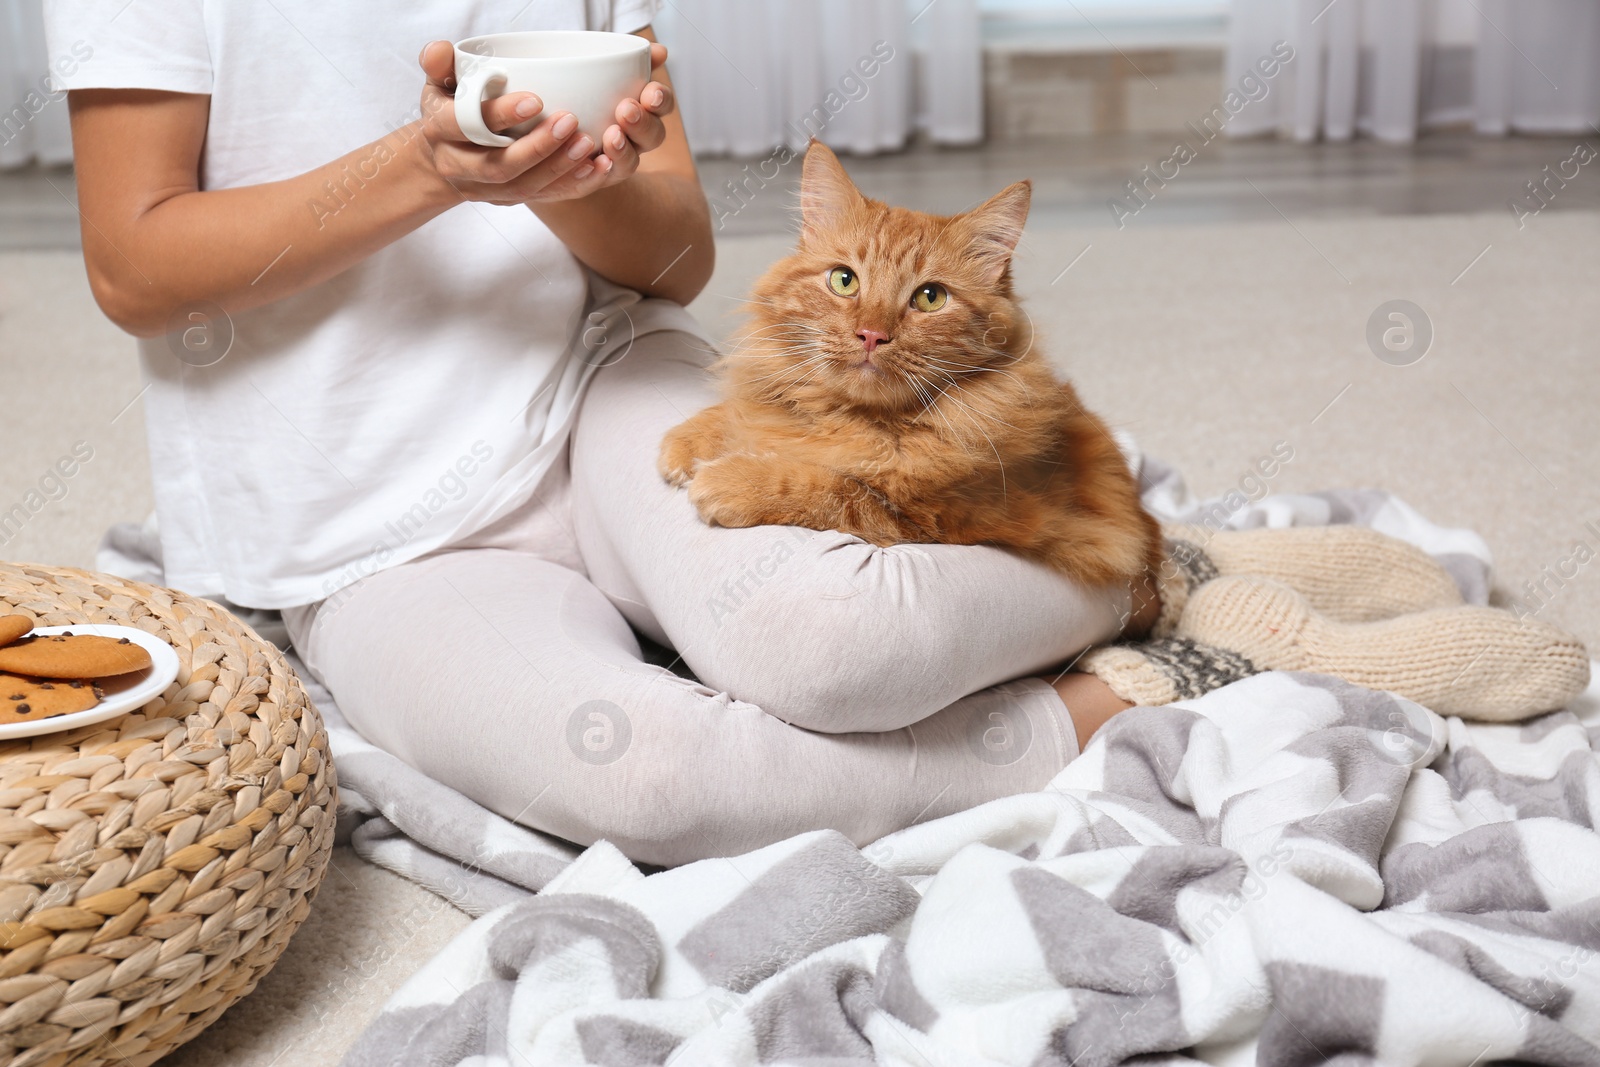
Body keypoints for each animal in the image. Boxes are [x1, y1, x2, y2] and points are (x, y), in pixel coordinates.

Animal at [656, 140, 1158, 588]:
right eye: (844, 281)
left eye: (930, 297)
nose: (871, 335)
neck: (861, 423)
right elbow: (742, 413)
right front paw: (687, 443)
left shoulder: (942, 519)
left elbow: (832, 488)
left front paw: (735, 480)